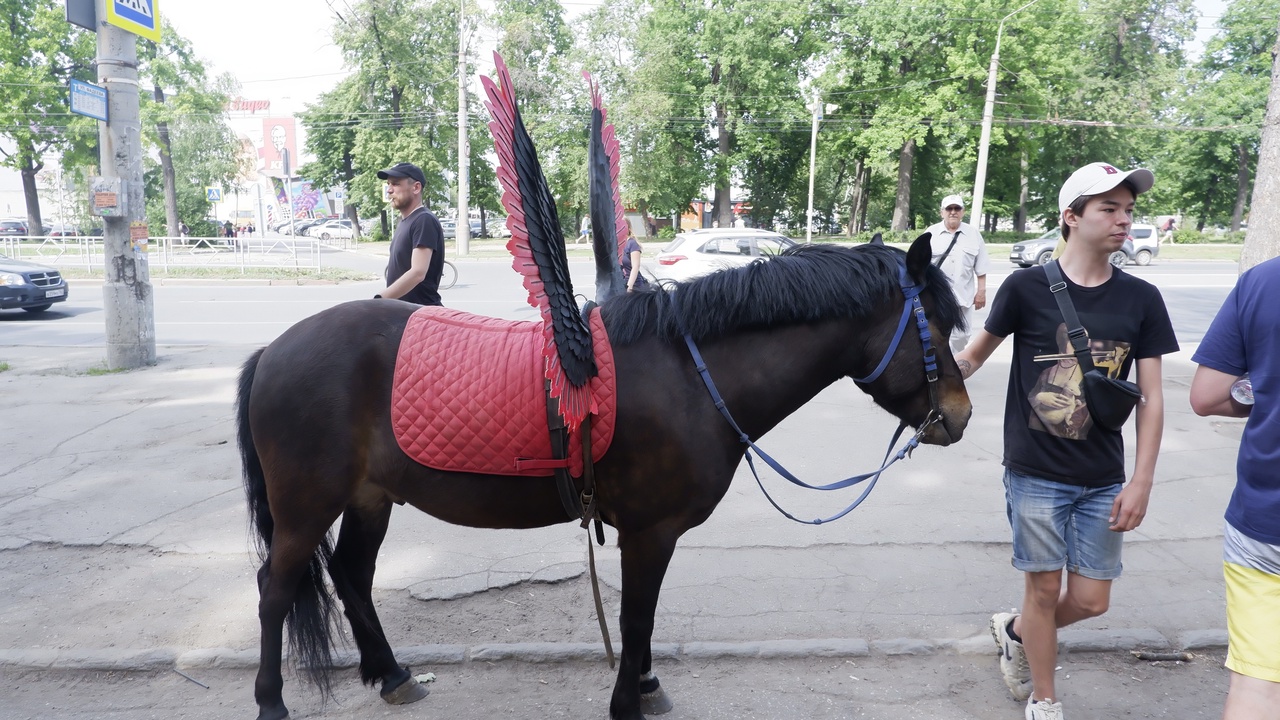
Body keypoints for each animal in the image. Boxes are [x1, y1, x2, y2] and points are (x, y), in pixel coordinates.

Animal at [238, 233, 967, 712]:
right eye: (936, 325)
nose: (957, 416)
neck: (689, 374)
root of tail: (274, 348)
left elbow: (642, 620)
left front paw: (642, 685)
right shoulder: (651, 531)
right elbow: (637, 619)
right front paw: (628, 700)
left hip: (370, 497)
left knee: (352, 576)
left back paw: (392, 675)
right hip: (306, 506)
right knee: (275, 590)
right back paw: (272, 701)